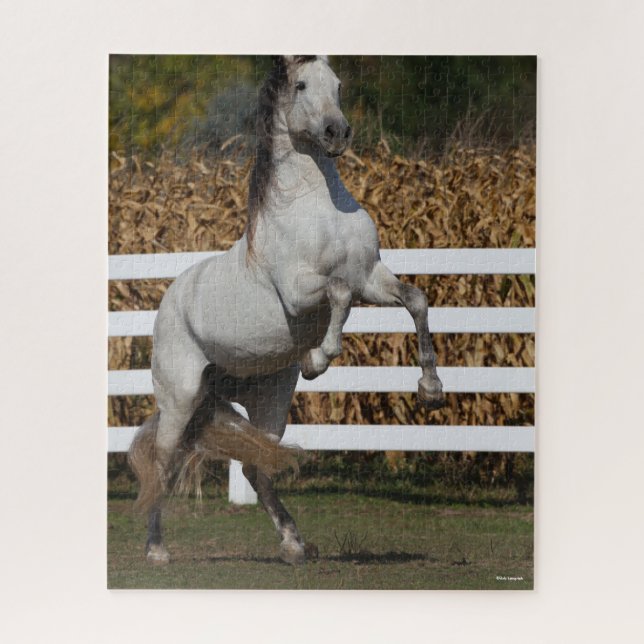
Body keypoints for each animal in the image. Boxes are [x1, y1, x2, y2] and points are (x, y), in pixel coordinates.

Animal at [128, 55, 445, 565]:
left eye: (338, 84)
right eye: (300, 85)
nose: (338, 132)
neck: (319, 208)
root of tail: (171, 299)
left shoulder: (371, 277)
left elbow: (415, 299)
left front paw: (431, 389)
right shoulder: (302, 291)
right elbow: (338, 294)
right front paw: (318, 359)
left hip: (269, 397)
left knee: (255, 468)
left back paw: (295, 545)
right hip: (180, 399)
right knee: (163, 465)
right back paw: (157, 551)